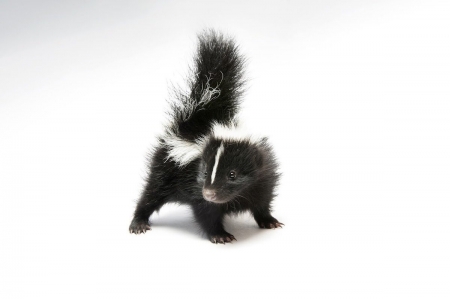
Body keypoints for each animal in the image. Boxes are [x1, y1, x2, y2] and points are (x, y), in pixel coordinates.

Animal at [128, 29, 282, 244]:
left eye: (232, 174)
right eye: (205, 171)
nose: (209, 193)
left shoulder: (263, 179)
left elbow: (262, 201)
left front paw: (269, 221)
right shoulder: (195, 187)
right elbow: (206, 213)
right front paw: (220, 235)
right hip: (164, 169)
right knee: (150, 194)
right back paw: (138, 222)